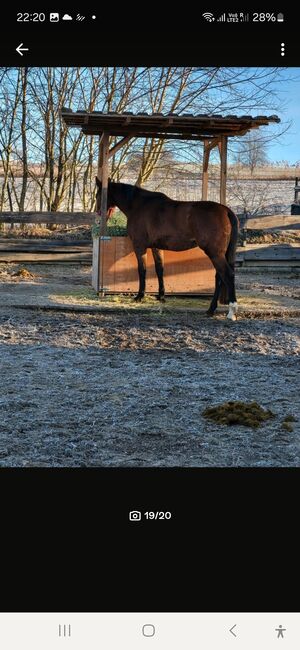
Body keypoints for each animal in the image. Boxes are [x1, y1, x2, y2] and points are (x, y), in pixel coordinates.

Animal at [95, 177, 239, 318]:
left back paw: (231, 311)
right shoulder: (156, 247)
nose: (98, 214)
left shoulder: (139, 246)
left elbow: (142, 270)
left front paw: (140, 296)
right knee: (219, 277)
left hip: (215, 253)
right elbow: (159, 269)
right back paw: (211, 309)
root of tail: (226, 210)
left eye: (97, 195)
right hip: (220, 254)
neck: (139, 205)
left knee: (227, 275)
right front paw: (161, 296)